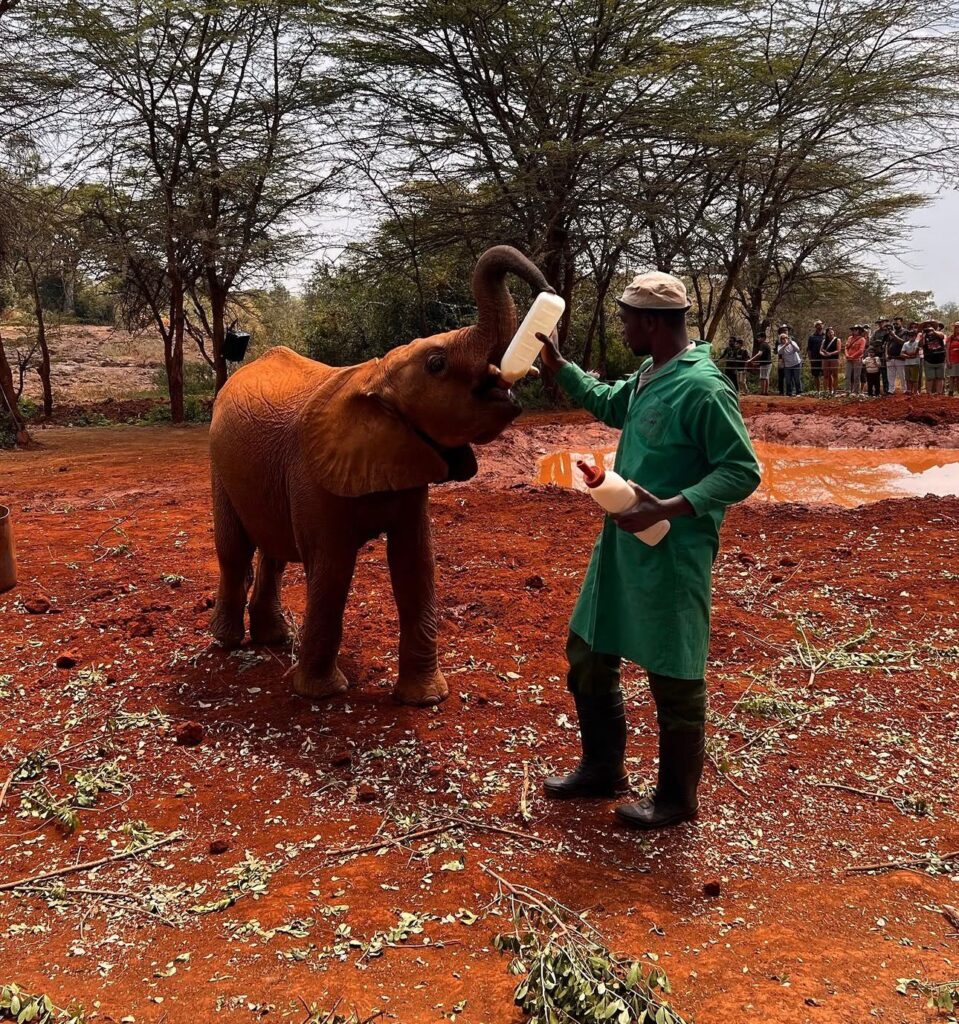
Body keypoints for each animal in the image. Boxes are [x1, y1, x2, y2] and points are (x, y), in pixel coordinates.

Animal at [208, 245, 551, 706]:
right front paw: (322, 695)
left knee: (274, 549)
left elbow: (416, 563)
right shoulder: (312, 474)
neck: (376, 376)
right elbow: (332, 569)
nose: (547, 291)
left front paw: (425, 699)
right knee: (234, 549)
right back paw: (227, 643)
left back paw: (274, 639)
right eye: (437, 364)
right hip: (217, 460)